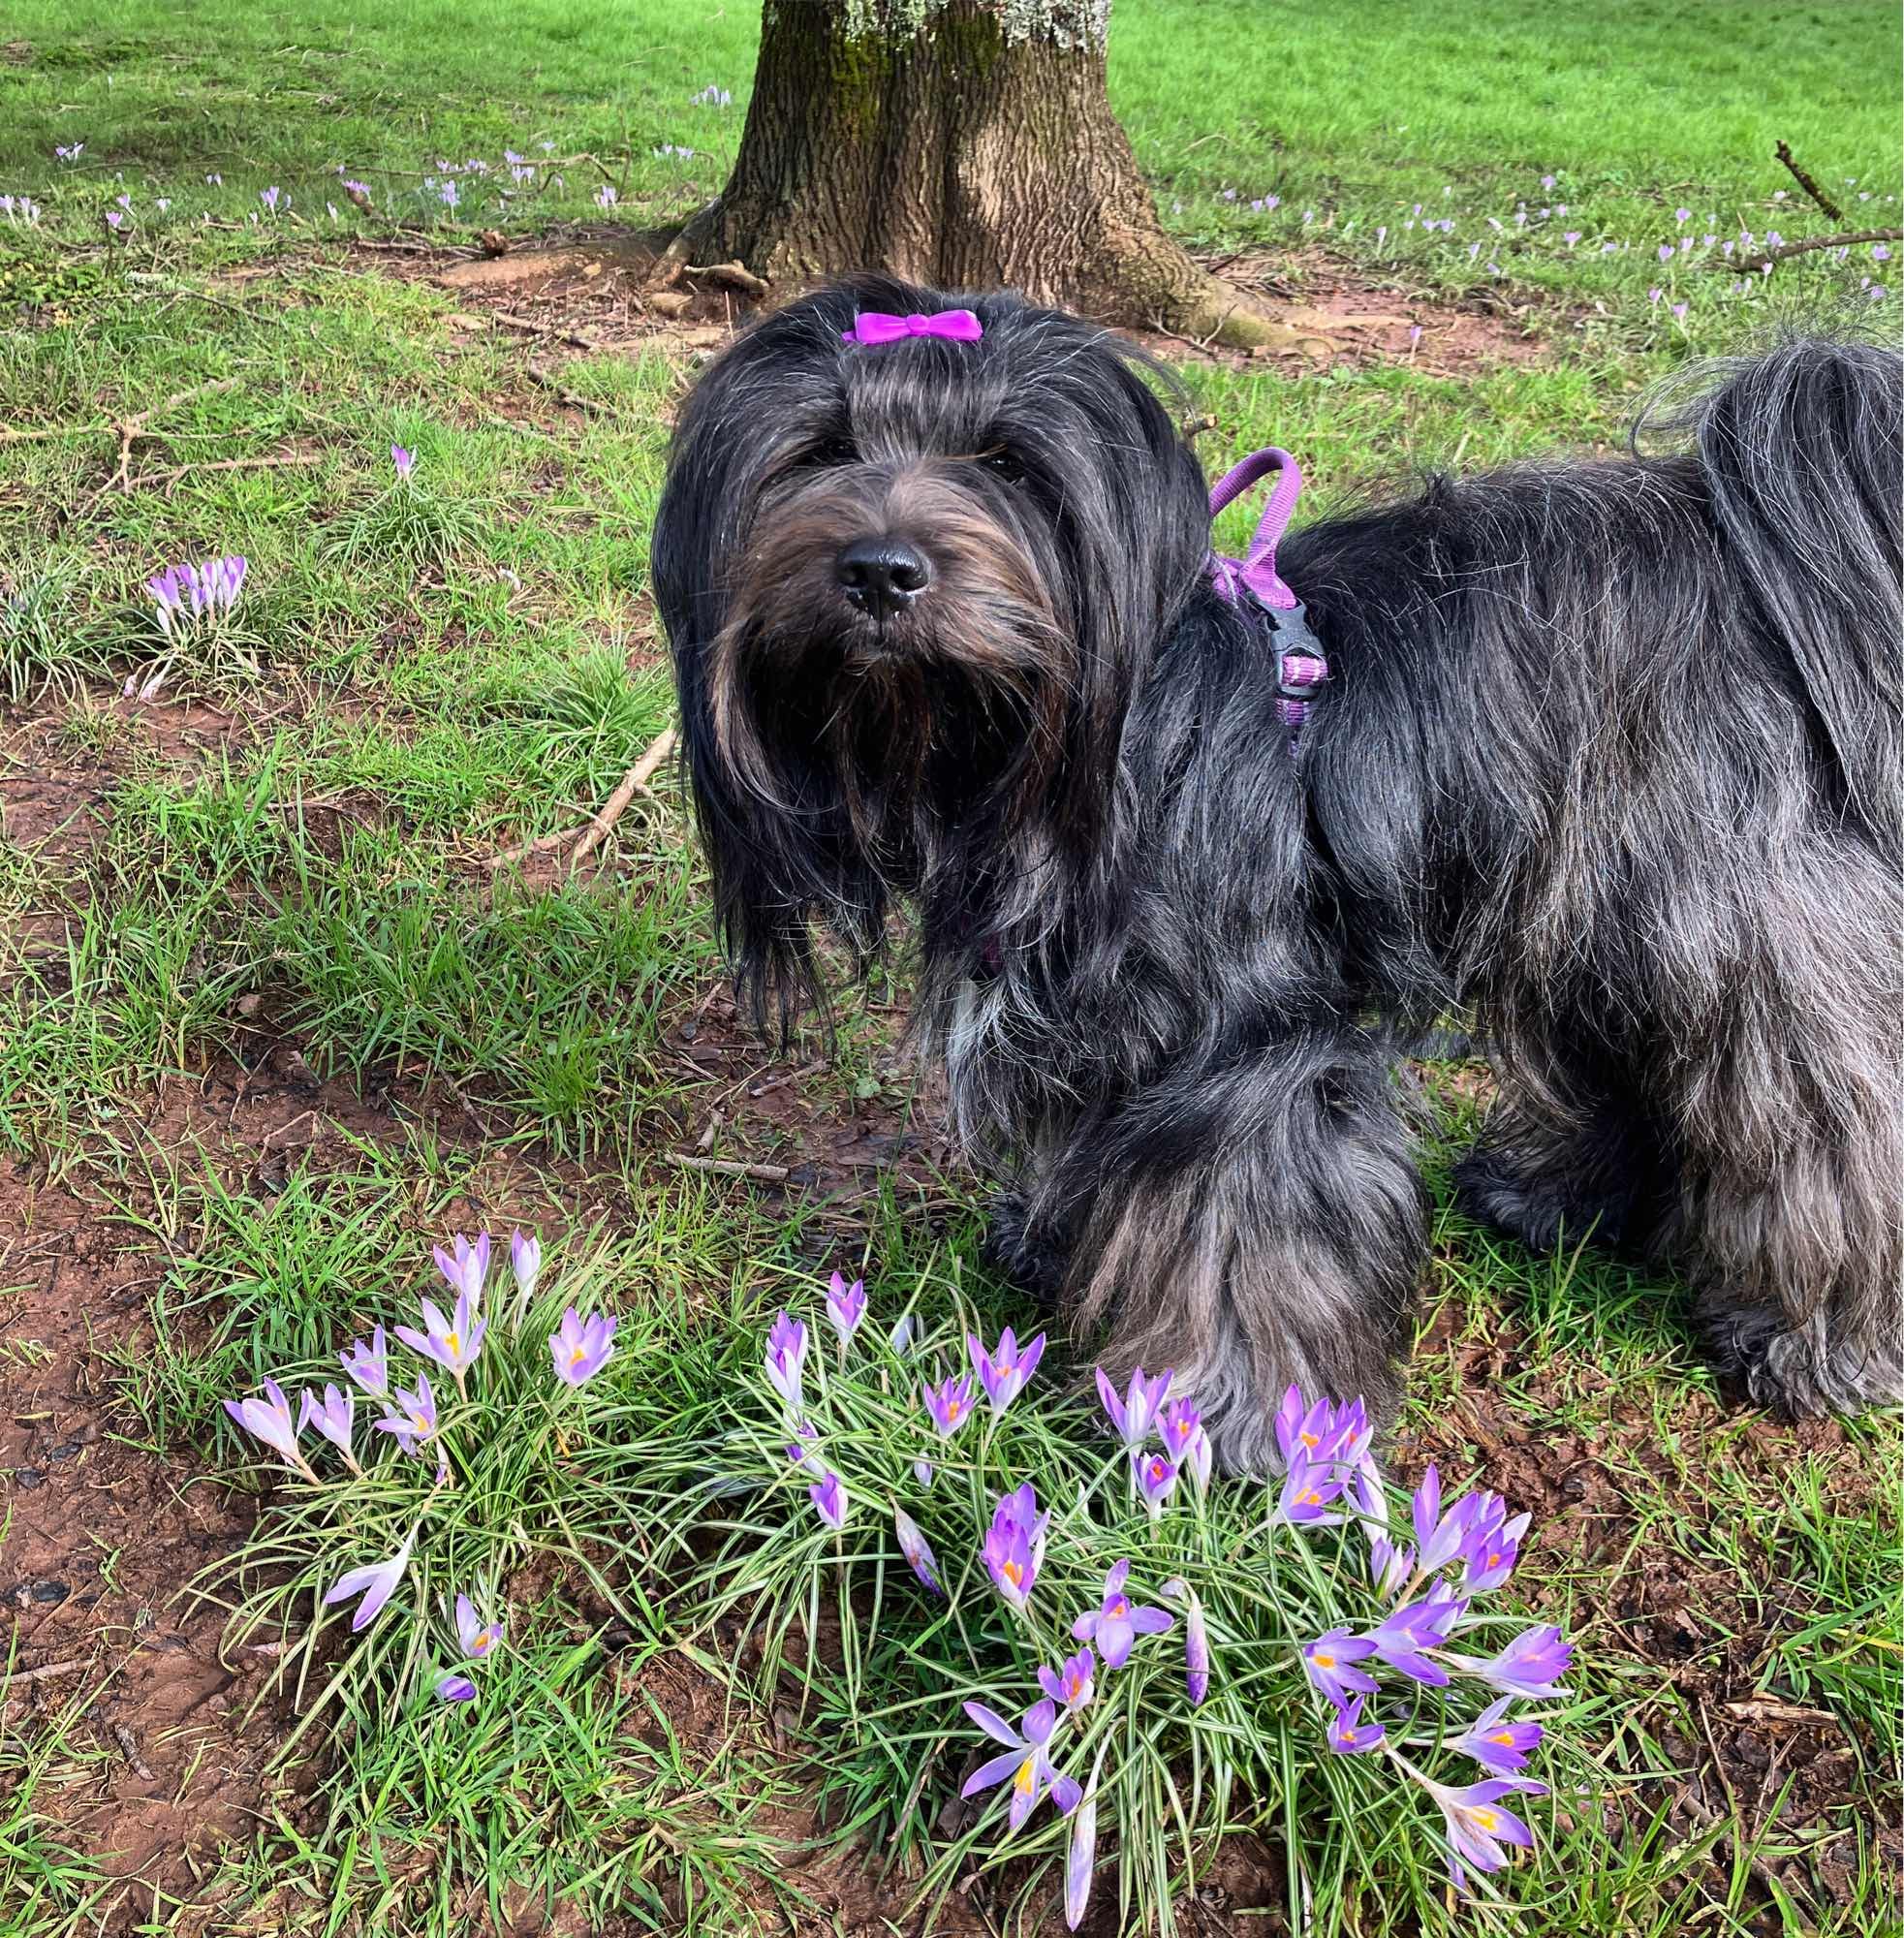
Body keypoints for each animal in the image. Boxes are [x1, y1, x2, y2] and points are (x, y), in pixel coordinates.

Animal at [655, 266, 1904, 1457]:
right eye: (821, 451)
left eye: (1005, 465)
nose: (881, 569)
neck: (1037, 754)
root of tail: (1736, 541)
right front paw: (1055, 1247)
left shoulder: (1251, 1047)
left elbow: (1242, 1239)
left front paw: (1225, 1422)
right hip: (1601, 908)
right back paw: (1552, 1196)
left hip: (1736, 926)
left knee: (1826, 1113)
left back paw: (1812, 1340)